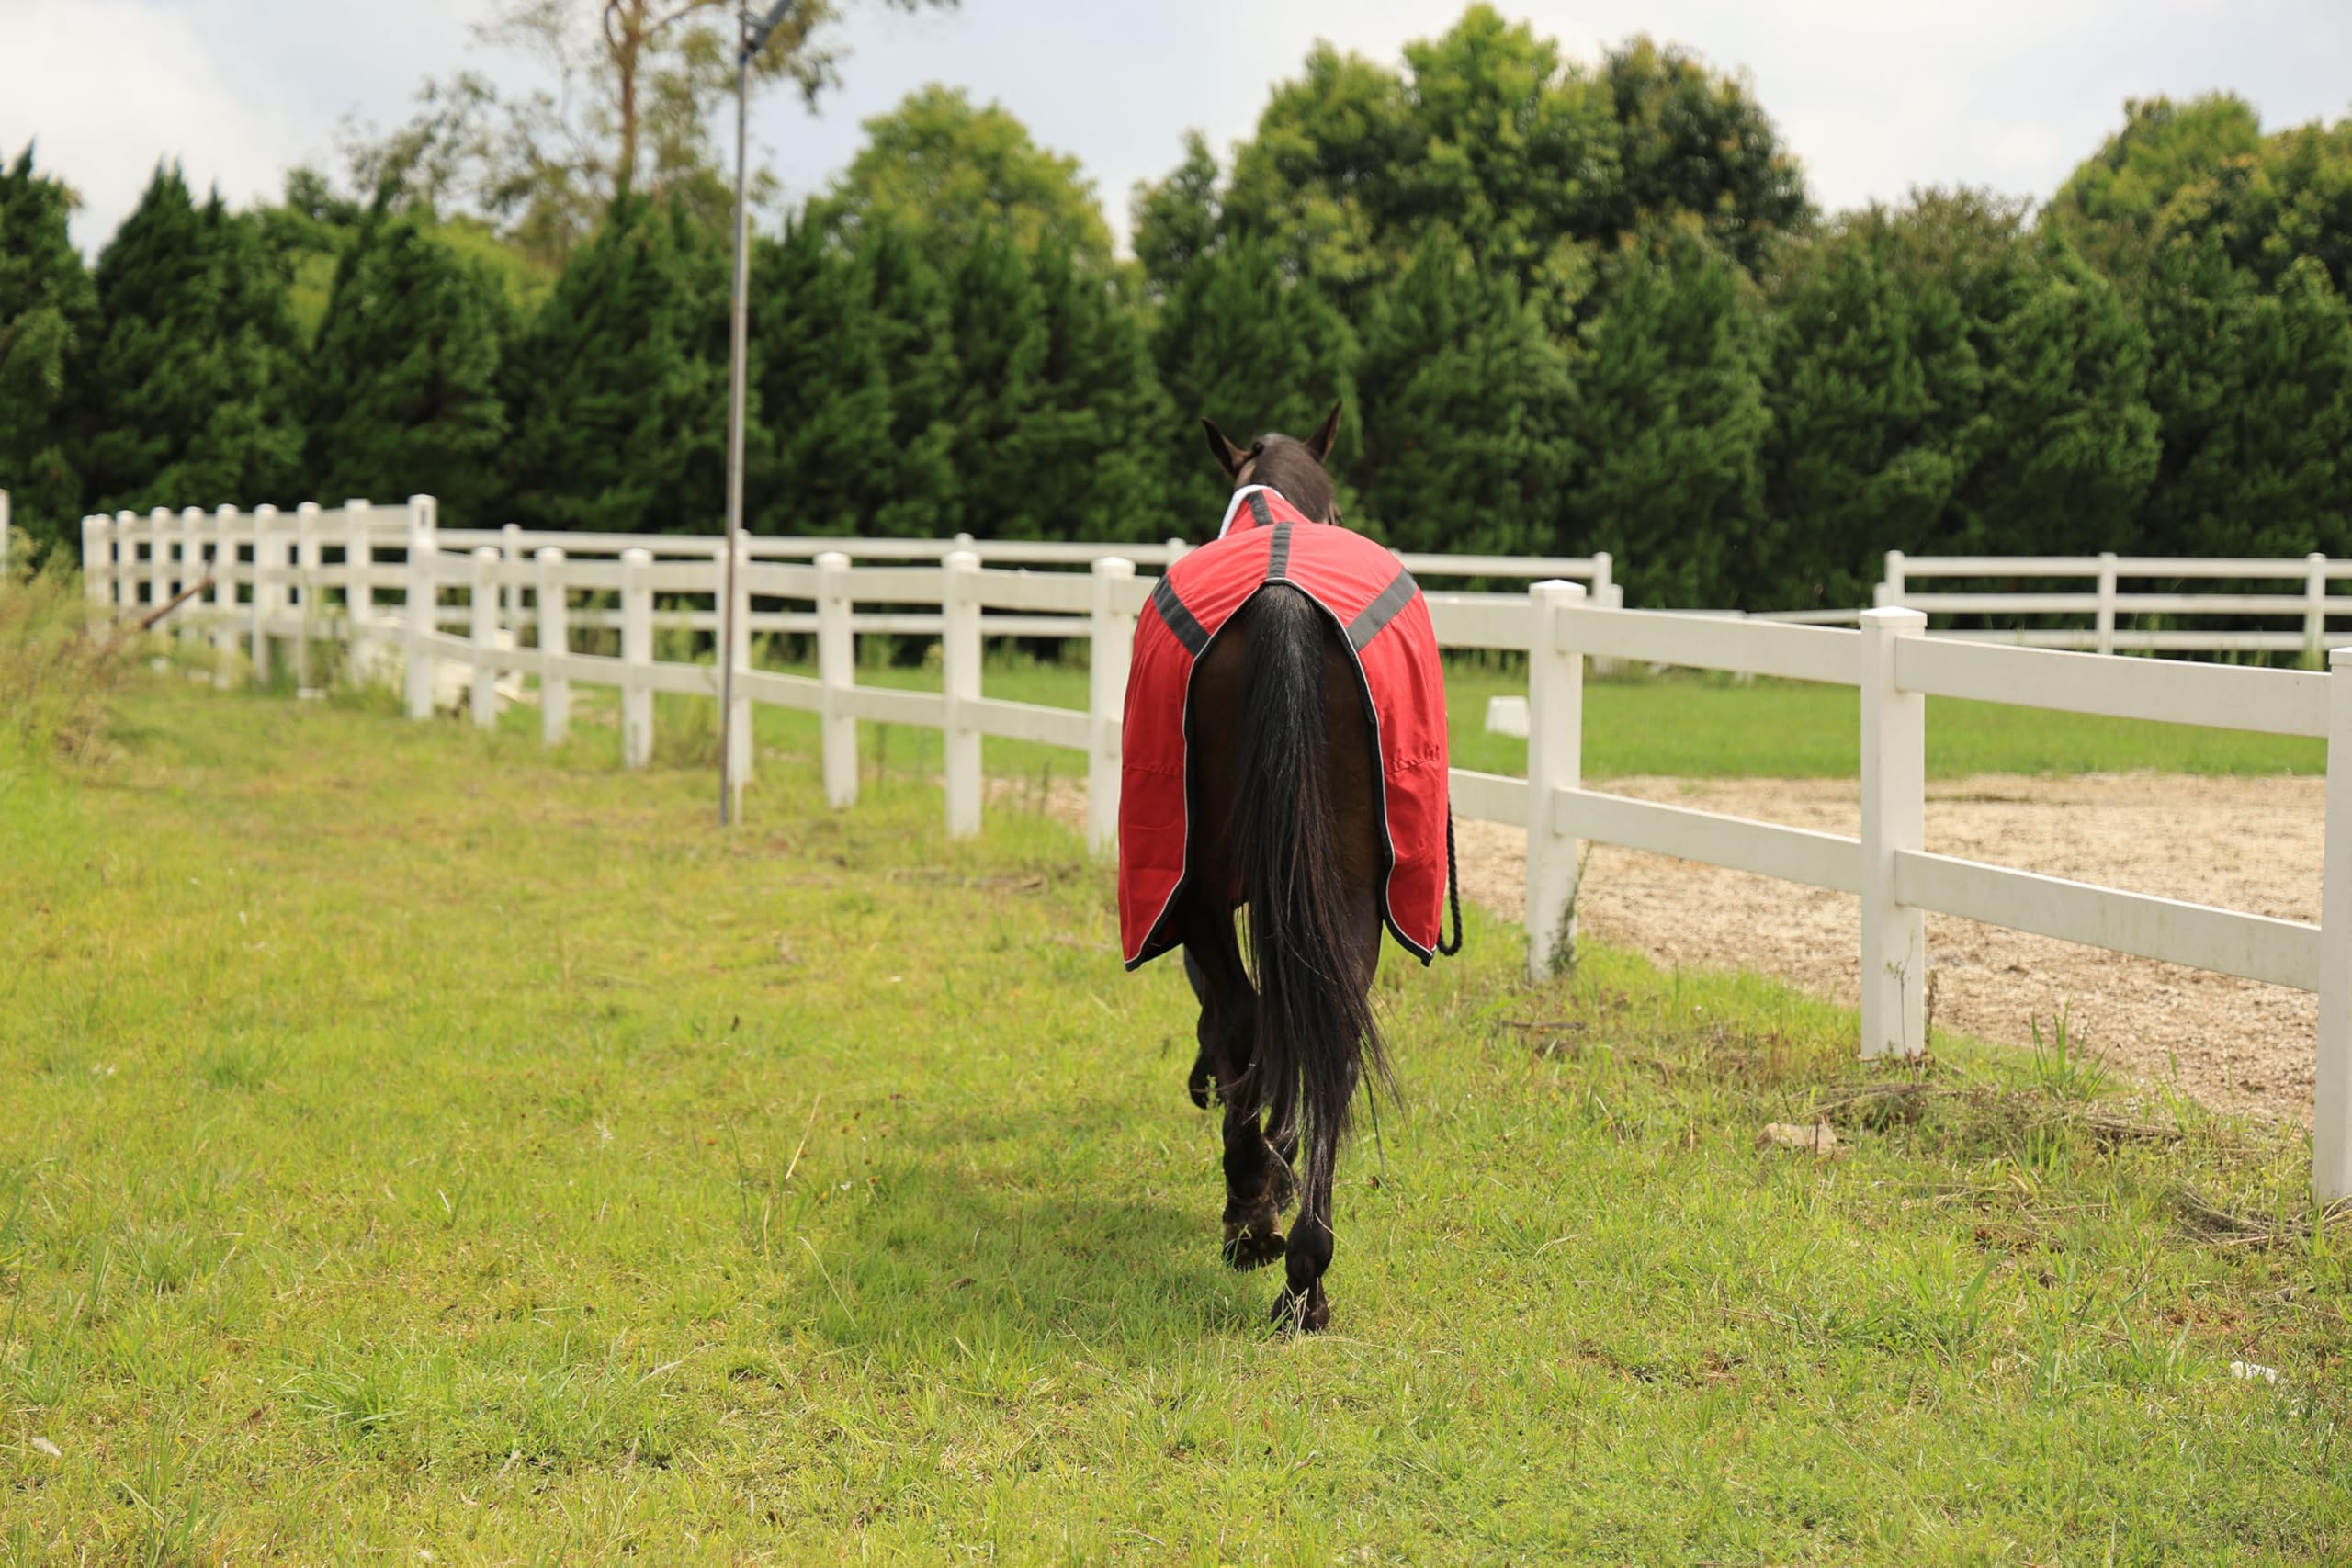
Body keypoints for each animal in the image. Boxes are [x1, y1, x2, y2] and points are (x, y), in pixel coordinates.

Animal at [1114, 404, 1448, 1335]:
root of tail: (1283, 602)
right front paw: (1270, 1170)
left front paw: (1263, 1172)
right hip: (1331, 891)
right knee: (1316, 1037)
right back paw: (1299, 1262)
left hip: (1207, 888)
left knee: (1254, 1021)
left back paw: (1269, 1229)